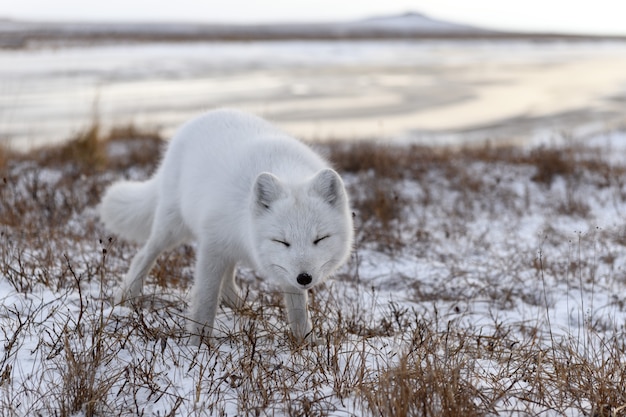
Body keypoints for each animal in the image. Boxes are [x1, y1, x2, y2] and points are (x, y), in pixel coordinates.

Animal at [97, 109, 352, 342]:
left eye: (319, 239)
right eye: (282, 241)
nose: (304, 278)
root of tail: (202, 116)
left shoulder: (277, 267)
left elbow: (298, 311)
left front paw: (305, 345)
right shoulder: (212, 246)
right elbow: (206, 301)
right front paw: (198, 345)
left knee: (228, 283)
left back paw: (246, 310)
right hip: (172, 228)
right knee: (145, 255)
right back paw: (126, 296)